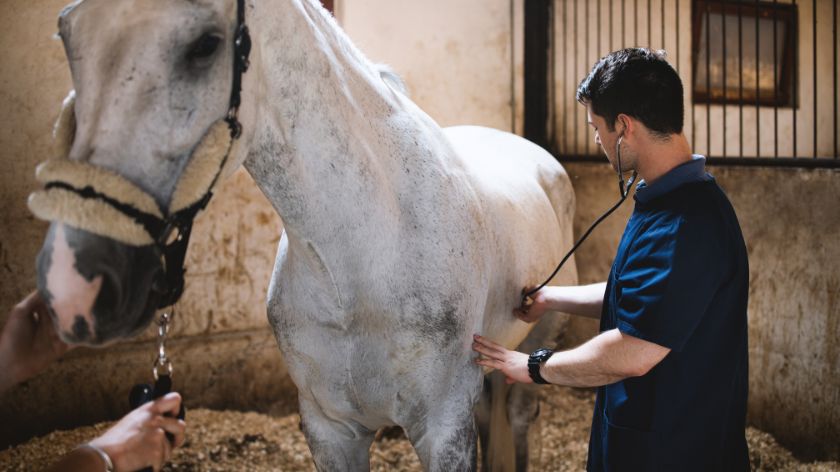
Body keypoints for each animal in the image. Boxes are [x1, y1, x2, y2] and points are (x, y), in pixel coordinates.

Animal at [29, 0, 576, 468]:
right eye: (67, 33)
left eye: (205, 45)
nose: (72, 284)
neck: (362, 261)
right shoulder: (330, 430)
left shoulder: (443, 428)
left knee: (518, 416)